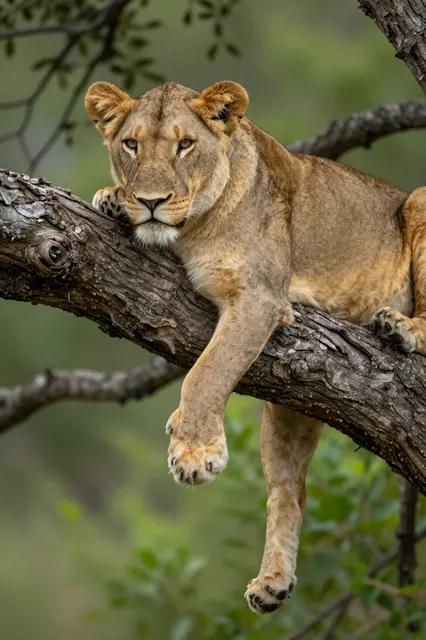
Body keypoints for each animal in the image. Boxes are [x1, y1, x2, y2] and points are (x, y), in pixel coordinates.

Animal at [85, 79, 426, 614]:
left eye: (185, 145)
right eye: (131, 144)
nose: (152, 200)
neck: (191, 229)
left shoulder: (263, 300)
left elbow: (207, 372)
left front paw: (193, 451)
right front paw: (113, 198)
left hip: (419, 200)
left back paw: (400, 328)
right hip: (291, 407)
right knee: (290, 491)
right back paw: (273, 581)